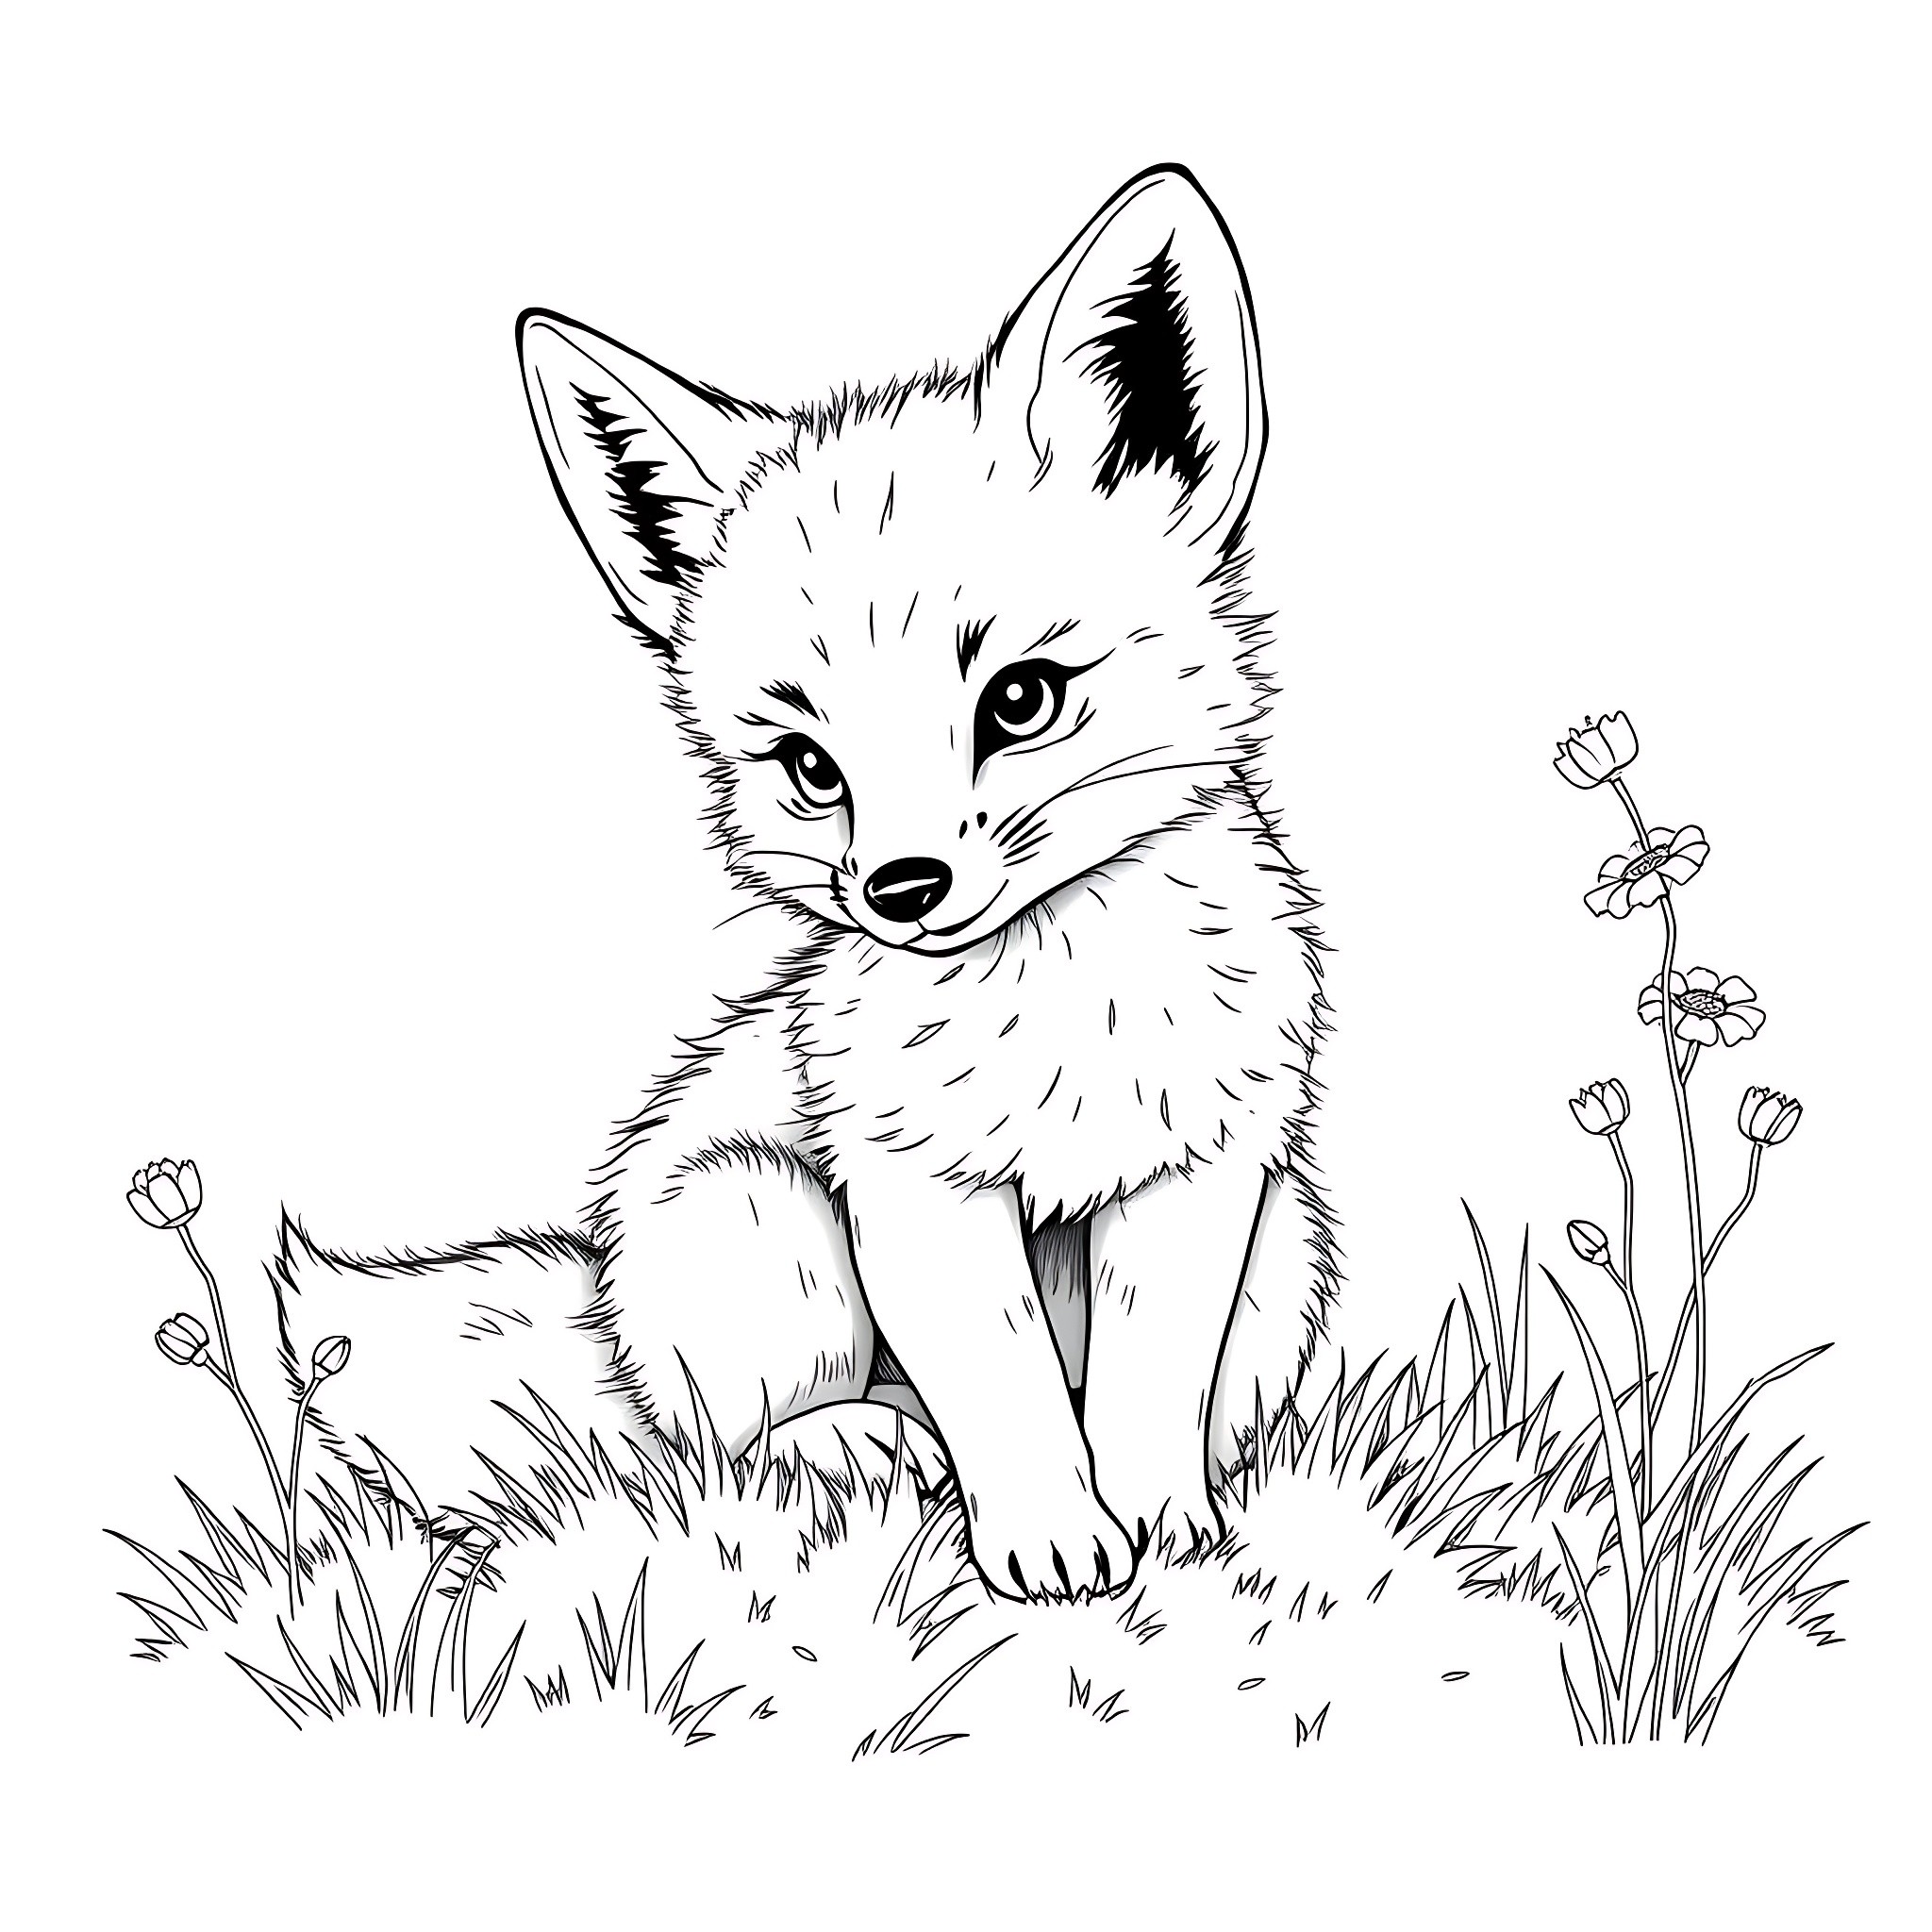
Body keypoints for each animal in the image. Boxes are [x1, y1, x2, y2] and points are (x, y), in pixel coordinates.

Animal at [275, 163, 1335, 1603]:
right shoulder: (915, 1192)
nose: (901, 890)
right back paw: (864, 1445)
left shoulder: (1198, 1170)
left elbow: (1145, 1385)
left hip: (1289, 1253)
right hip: (766, 1221)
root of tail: (601, 1304)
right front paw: (1049, 1541)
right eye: (809, 764)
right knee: (727, 1439)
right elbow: (1004, 1387)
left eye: (1019, 699)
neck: (1066, 1031)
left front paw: (1156, 1523)